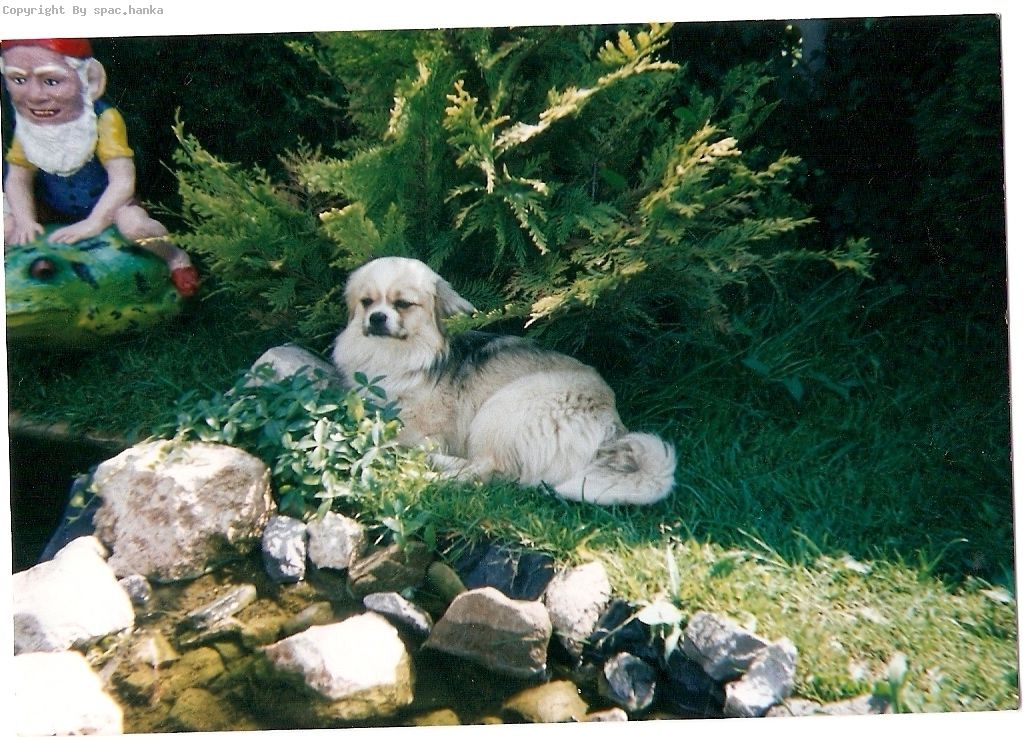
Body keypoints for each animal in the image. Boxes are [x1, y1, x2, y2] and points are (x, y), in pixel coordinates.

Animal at [331, 256, 676, 505]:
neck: (392, 356)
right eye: (366, 302)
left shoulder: (422, 428)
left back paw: (428, 473)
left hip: (502, 410)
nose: (377, 318)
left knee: (486, 473)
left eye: (402, 304)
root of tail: (612, 426)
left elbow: (391, 434)